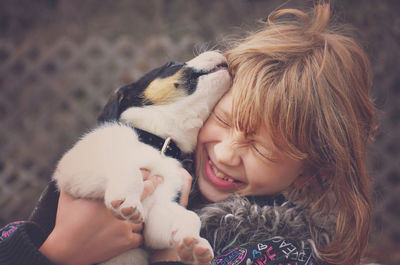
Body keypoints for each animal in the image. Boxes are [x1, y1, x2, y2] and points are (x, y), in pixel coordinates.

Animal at [52, 50, 231, 262]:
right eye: (170, 64)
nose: (220, 51)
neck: (156, 143)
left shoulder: (159, 210)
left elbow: (189, 216)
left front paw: (193, 244)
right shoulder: (75, 166)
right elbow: (129, 170)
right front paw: (126, 201)